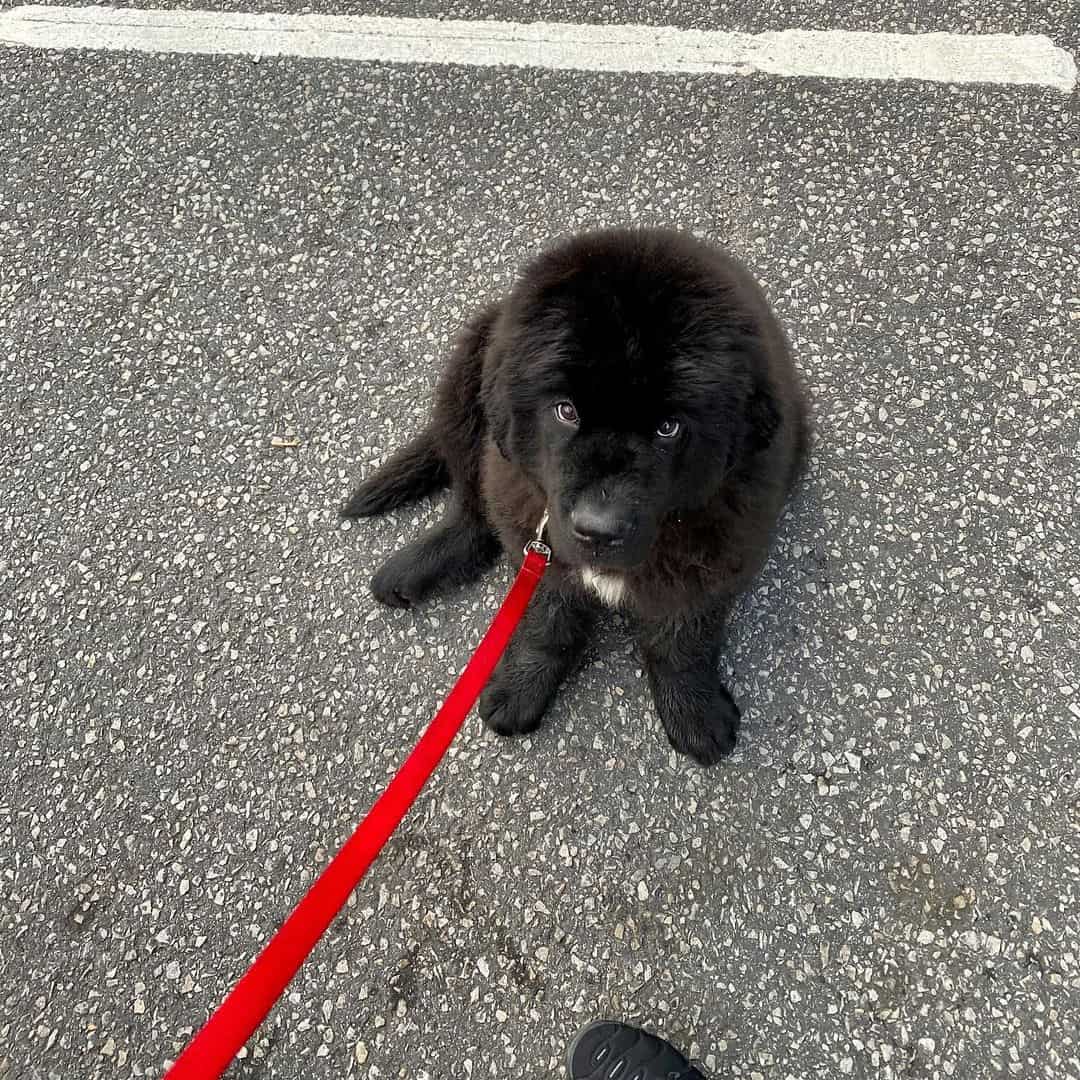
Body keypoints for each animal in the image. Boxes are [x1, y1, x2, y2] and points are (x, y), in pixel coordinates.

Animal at [341, 230, 807, 768]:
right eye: (566, 411)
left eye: (668, 427)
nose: (599, 528)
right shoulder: (537, 533)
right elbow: (547, 616)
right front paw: (521, 688)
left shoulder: (717, 550)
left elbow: (682, 637)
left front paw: (693, 711)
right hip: (471, 387)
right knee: (471, 507)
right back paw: (418, 566)